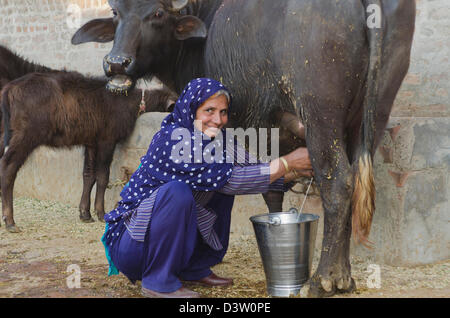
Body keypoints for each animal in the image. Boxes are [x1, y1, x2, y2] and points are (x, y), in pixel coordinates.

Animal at [73, 0, 414, 298]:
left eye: (156, 12)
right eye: (116, 12)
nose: (116, 62)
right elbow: (272, 188)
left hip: (321, 114)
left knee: (339, 182)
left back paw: (325, 279)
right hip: (374, 113)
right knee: (355, 179)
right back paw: (345, 276)